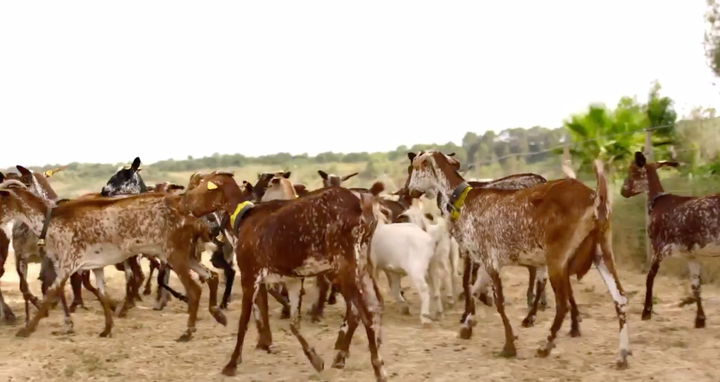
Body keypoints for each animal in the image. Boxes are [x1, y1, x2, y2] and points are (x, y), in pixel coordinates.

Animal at [404, 150, 632, 370]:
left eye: (413, 168)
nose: (408, 191)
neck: (465, 199)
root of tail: (595, 197)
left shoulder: (489, 261)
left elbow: (498, 301)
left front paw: (508, 346)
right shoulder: (485, 261)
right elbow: (475, 290)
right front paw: (467, 327)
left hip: (557, 260)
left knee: (562, 304)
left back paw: (545, 345)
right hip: (602, 253)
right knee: (619, 298)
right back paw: (622, 355)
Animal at [620, 152, 720, 328]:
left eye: (632, 171)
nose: (623, 191)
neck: (657, 203)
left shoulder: (659, 247)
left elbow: (650, 277)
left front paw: (646, 312)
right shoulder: (690, 254)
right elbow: (695, 285)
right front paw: (700, 319)